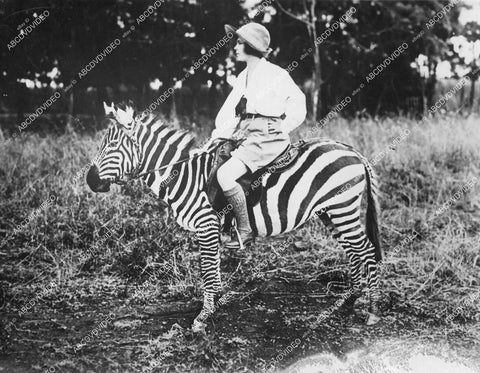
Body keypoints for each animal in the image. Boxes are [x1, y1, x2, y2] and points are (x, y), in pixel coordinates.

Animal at [87, 102, 382, 332]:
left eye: (112, 145)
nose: (89, 180)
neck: (186, 177)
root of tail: (352, 150)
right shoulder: (211, 229)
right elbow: (213, 270)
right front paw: (215, 304)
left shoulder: (206, 225)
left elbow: (207, 271)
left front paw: (202, 318)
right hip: (331, 212)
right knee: (354, 252)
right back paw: (349, 301)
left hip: (341, 208)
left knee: (367, 251)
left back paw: (372, 310)